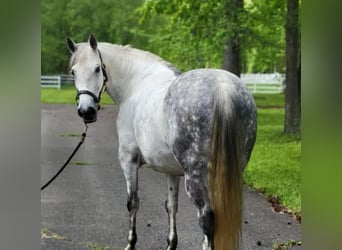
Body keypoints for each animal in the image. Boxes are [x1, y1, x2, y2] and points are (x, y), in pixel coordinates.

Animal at [66, 33, 256, 250]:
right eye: (73, 72)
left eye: (97, 68)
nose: (86, 111)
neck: (136, 82)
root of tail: (222, 89)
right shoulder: (171, 171)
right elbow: (171, 206)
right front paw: (171, 244)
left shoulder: (128, 160)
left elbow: (132, 202)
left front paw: (131, 243)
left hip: (196, 177)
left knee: (207, 218)